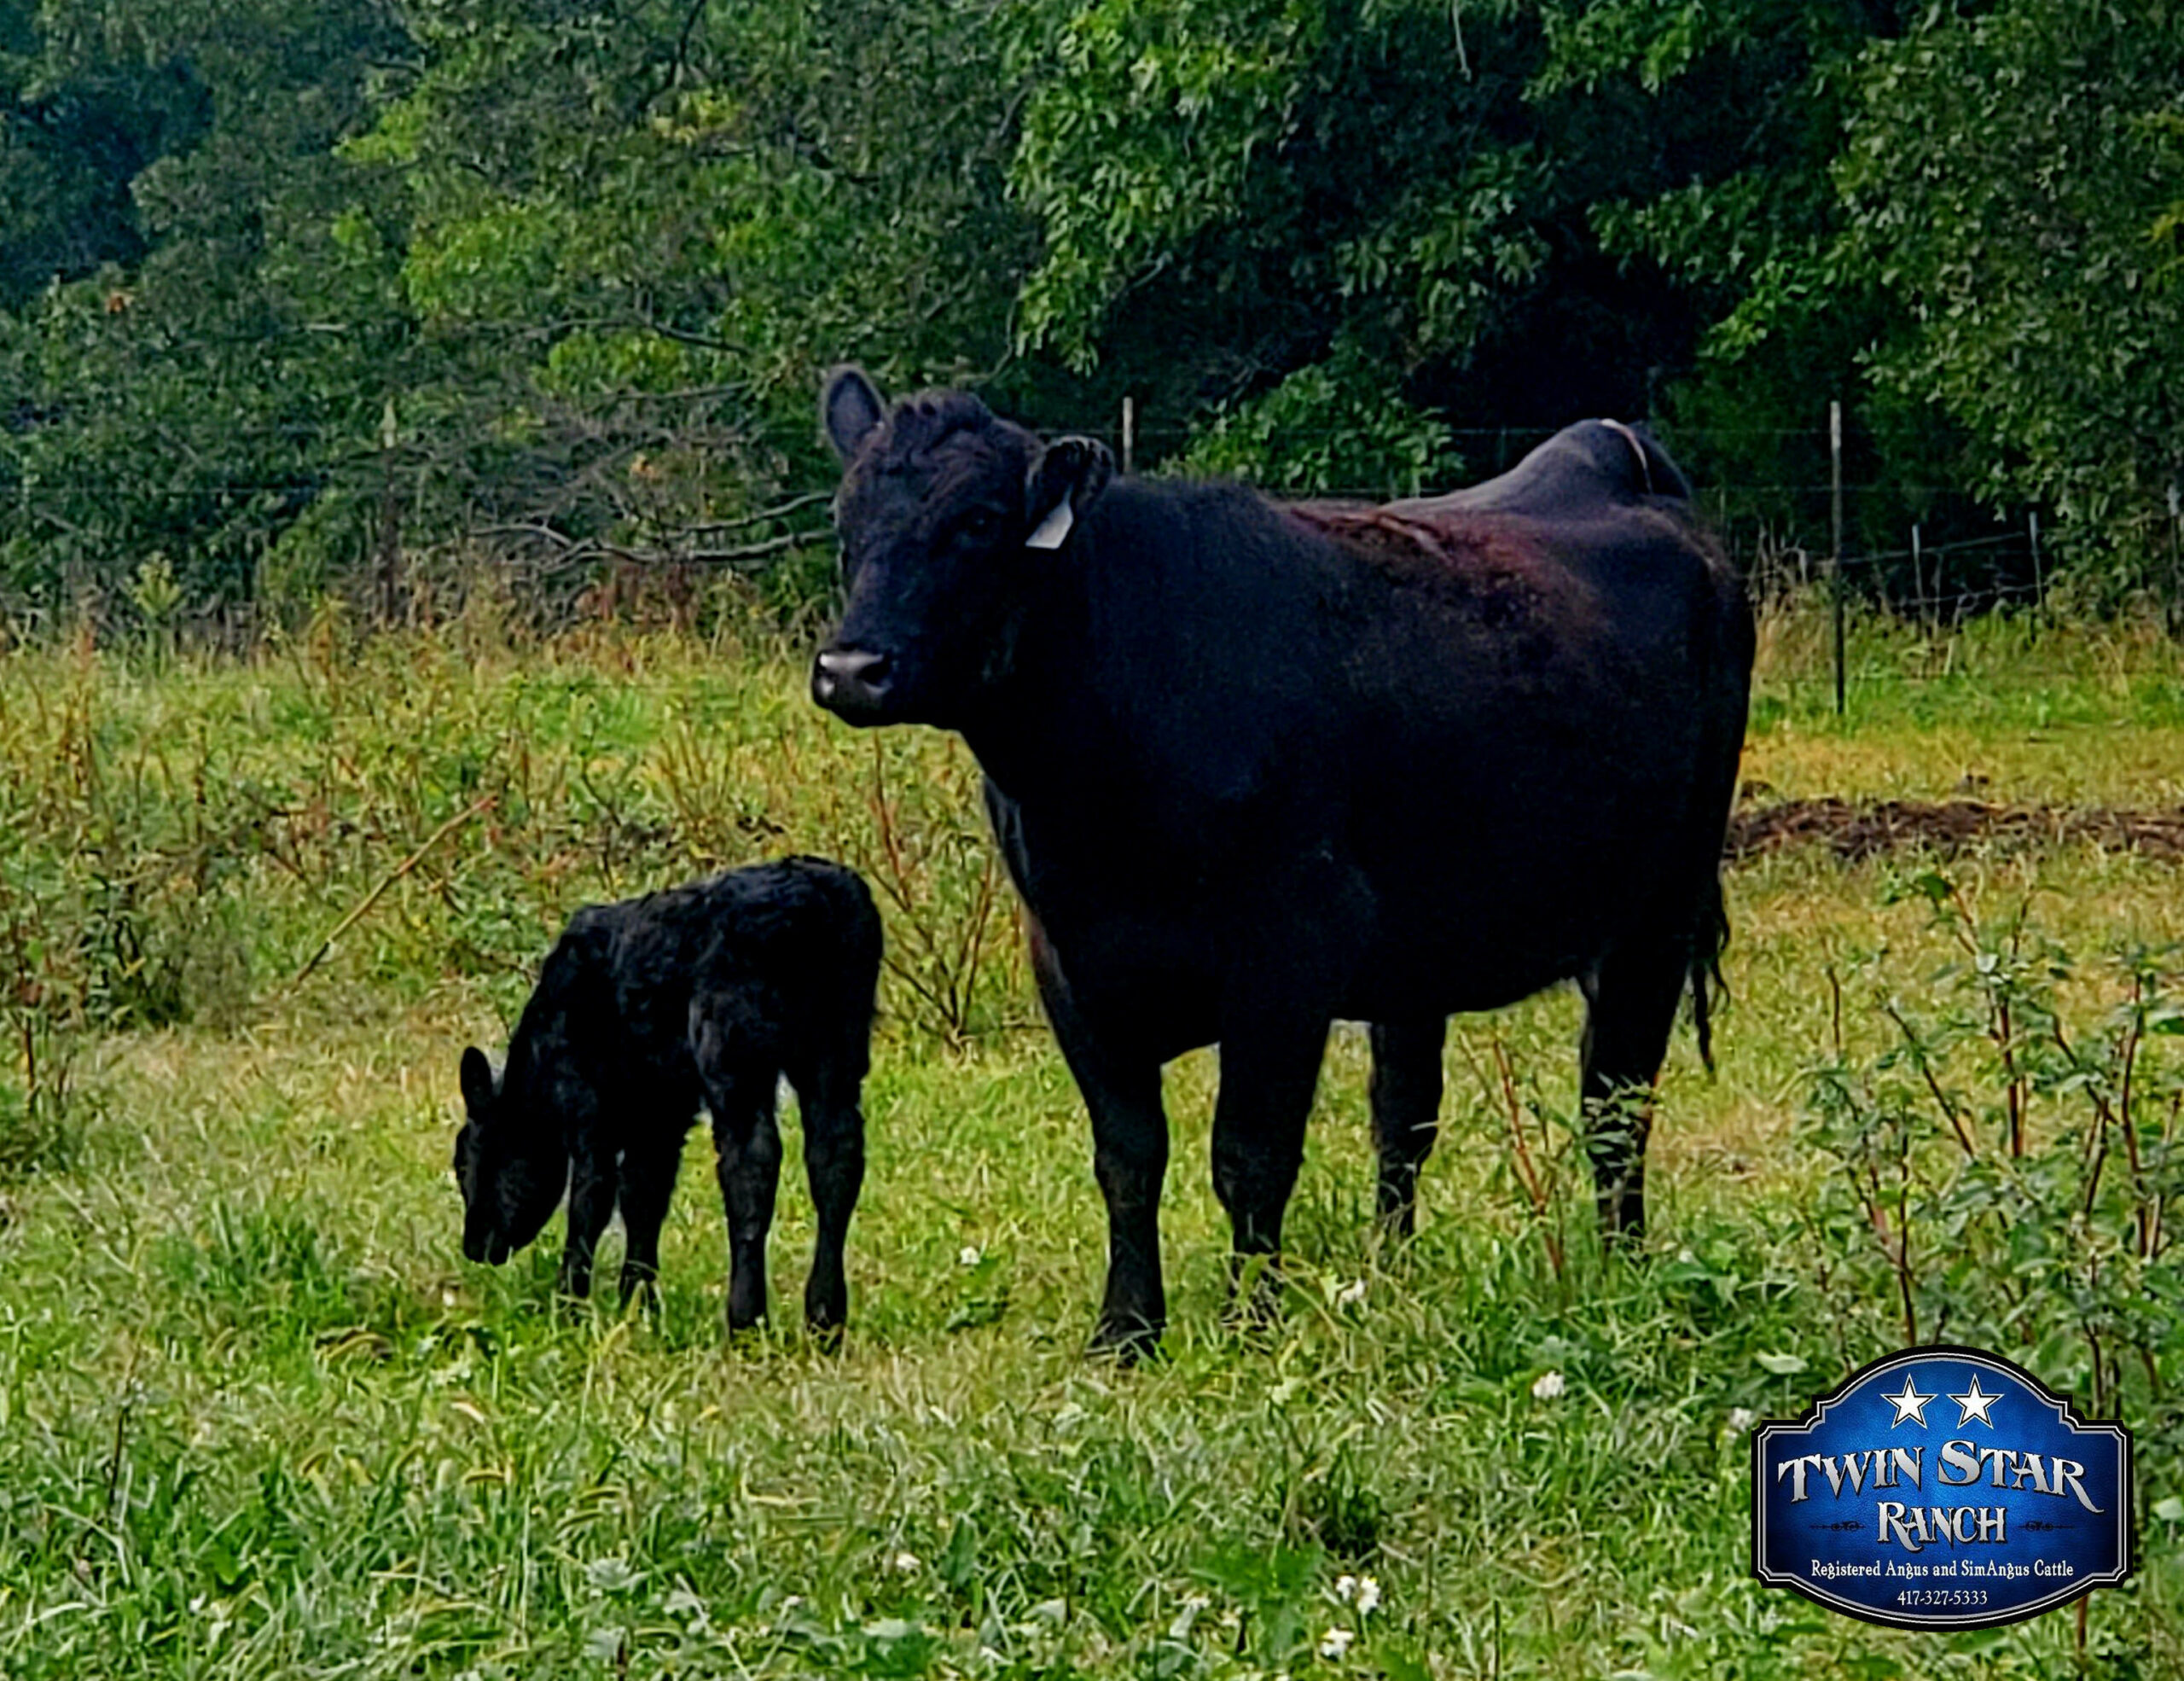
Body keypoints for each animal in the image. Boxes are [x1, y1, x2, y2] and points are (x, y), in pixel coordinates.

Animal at [456, 855, 882, 1327]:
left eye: (464, 1164)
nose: (473, 1246)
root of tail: (812, 896)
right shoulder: (660, 1113)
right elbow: (644, 1196)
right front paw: (639, 1303)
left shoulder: (590, 1106)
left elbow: (592, 1200)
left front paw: (569, 1307)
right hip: (837, 1044)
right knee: (836, 1155)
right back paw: (825, 1315)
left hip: (732, 1049)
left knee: (752, 1163)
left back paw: (746, 1317)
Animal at [812, 370, 1747, 1345]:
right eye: (846, 519)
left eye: (979, 519)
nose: (851, 668)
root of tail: (1607, 449)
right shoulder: (1069, 961)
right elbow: (1128, 1156)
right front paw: (1126, 1329)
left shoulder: (1287, 951)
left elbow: (1250, 1155)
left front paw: (1249, 1323)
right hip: (1421, 950)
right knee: (1405, 1114)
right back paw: (1389, 1275)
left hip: (1659, 908)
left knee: (1616, 1097)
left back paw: (1623, 1266)